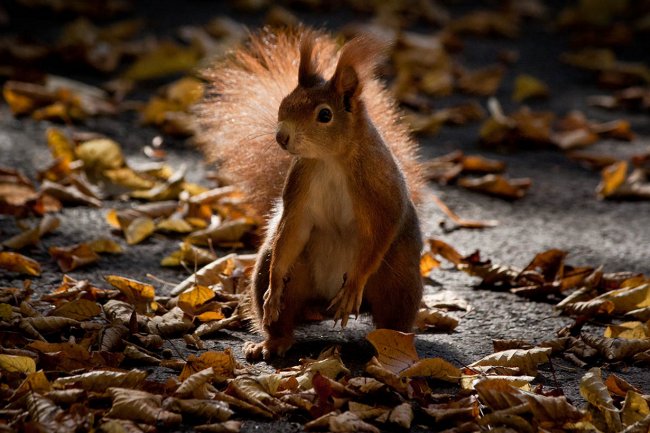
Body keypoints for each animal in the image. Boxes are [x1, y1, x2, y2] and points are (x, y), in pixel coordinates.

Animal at [195, 28, 422, 360]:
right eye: (284, 103)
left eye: (325, 115)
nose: (282, 136)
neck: (330, 159)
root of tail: (321, 307)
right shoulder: (300, 185)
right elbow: (293, 228)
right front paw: (275, 285)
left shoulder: (381, 191)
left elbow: (381, 229)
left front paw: (353, 285)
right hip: (285, 274)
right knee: (281, 312)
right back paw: (272, 343)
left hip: (397, 280)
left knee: (393, 319)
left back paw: (393, 349)